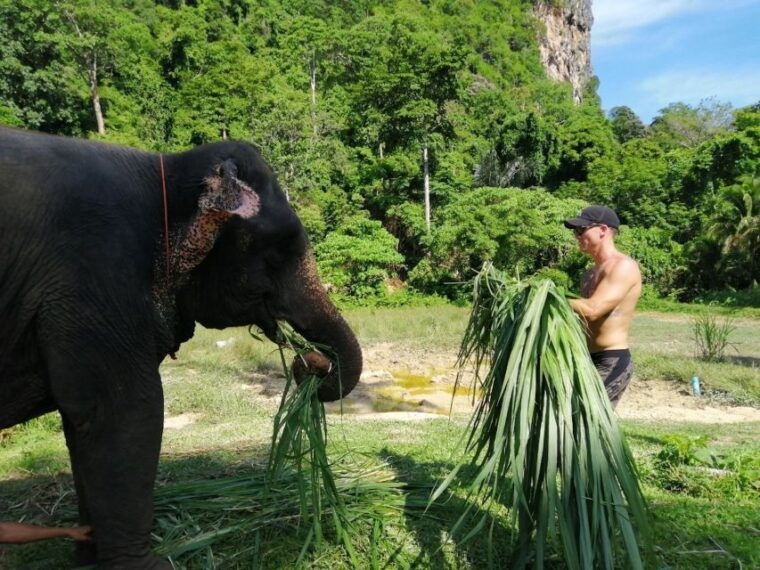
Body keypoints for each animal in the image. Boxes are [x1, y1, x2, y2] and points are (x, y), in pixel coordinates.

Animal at [0, 126, 362, 569]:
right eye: (278, 252)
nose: (309, 361)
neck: (168, 168)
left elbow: (82, 423)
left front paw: (87, 555)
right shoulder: (97, 281)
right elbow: (125, 412)